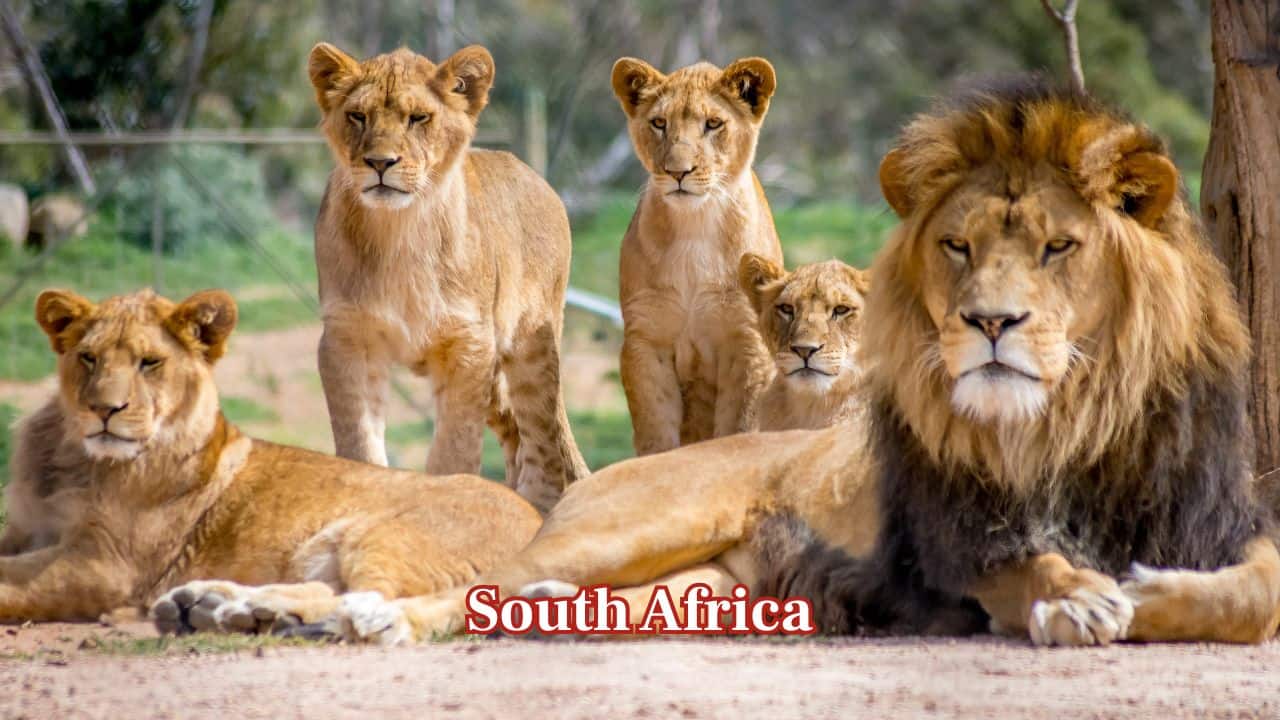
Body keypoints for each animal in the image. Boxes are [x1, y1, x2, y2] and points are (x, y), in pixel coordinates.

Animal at [0, 288, 540, 633]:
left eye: (149, 363)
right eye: (88, 358)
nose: (104, 409)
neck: (75, 459)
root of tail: (538, 521)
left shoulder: (106, 563)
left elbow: (10, 581)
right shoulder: (26, 530)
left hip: (387, 535)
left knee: (371, 597)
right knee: (331, 591)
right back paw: (216, 606)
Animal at [309, 42, 586, 512]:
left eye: (418, 118)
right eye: (357, 116)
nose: (380, 162)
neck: (398, 232)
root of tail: (538, 179)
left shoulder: (469, 344)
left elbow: (453, 451)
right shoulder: (346, 340)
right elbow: (360, 443)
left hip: (530, 344)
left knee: (543, 440)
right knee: (516, 432)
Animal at [612, 56, 784, 455]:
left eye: (713, 124)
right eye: (659, 123)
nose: (678, 172)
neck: (694, 226)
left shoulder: (746, 342)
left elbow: (739, 427)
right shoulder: (646, 339)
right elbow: (656, 431)